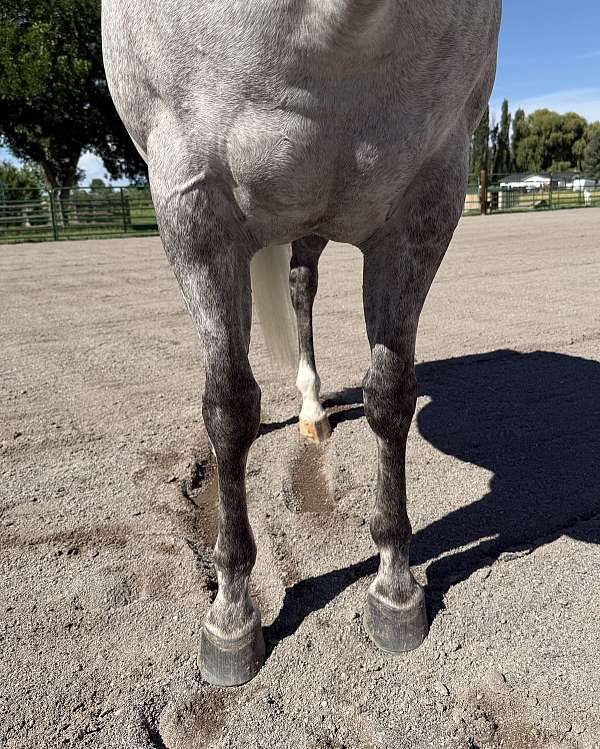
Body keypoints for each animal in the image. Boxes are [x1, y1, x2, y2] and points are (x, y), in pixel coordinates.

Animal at [102, 0, 501, 686]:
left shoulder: (428, 197)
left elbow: (390, 393)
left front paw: (395, 589)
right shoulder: (191, 200)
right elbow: (229, 407)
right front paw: (232, 613)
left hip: (314, 214)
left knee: (301, 285)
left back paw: (314, 411)